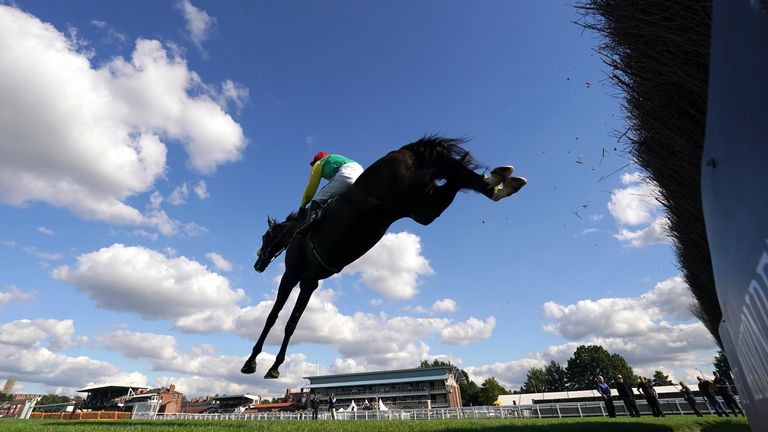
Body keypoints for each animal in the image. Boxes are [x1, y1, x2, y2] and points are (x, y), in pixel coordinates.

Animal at [243, 135, 524, 378]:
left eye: (264, 237)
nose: (257, 264)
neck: (294, 235)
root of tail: (405, 150)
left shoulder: (292, 276)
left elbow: (273, 317)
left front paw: (253, 362)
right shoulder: (310, 282)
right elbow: (292, 323)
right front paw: (274, 366)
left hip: (407, 189)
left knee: (453, 170)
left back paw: (499, 180)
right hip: (422, 207)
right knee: (456, 177)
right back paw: (501, 182)